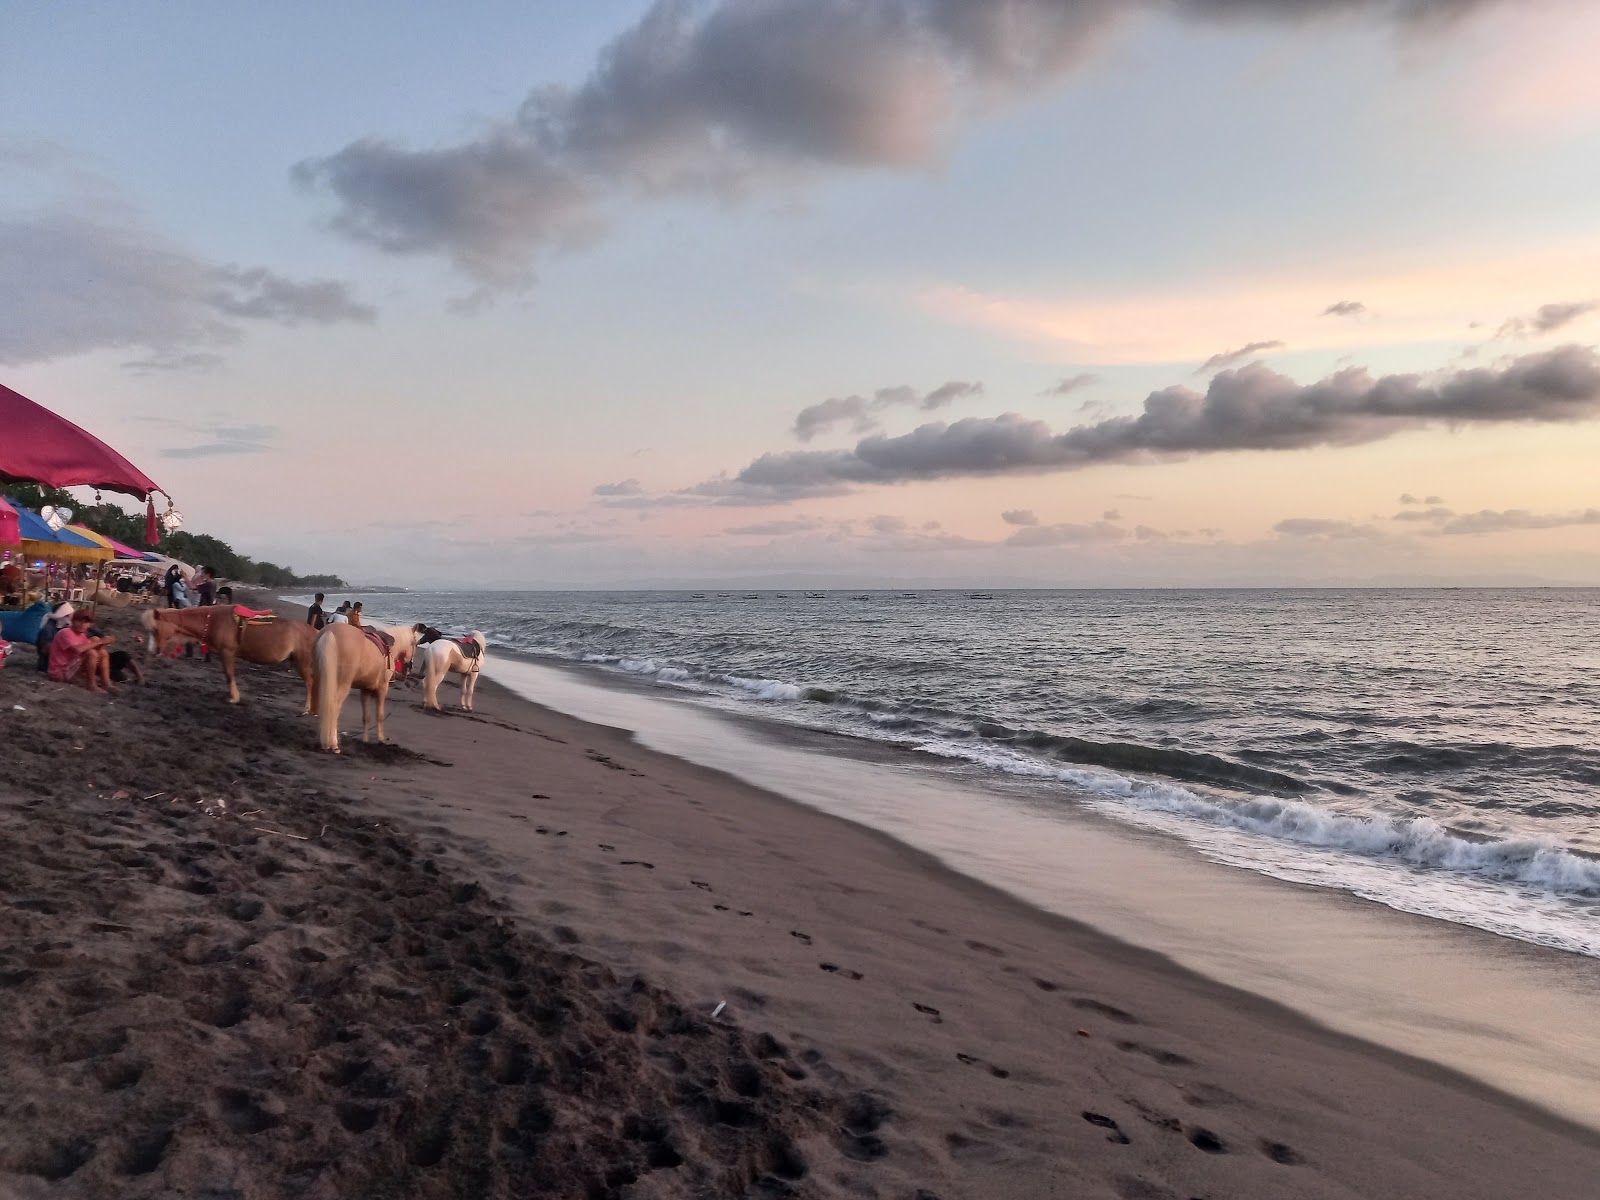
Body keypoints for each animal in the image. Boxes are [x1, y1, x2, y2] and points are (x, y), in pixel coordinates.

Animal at [142, 611, 320, 713]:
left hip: (303, 663)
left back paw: (308, 709)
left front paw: (234, 698)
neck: (214, 620)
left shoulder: (227, 652)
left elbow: (229, 675)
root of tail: (317, 631)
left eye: (155, 629)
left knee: (310, 683)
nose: (152, 651)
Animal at [312, 620, 422, 752]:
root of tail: (329, 632)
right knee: (333, 707)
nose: (410, 668)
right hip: (342, 686)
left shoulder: (365, 690)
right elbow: (379, 715)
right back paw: (333, 744)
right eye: (415, 644)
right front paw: (380, 739)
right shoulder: (382, 689)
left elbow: (366, 717)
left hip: (322, 680)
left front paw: (365, 740)